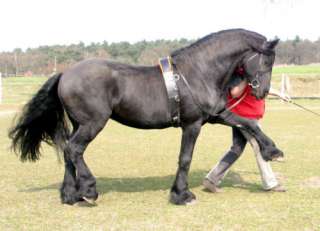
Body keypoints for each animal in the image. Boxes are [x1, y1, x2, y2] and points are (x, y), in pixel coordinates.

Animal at [8, 28, 282, 204]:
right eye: (267, 61)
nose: (263, 92)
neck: (198, 72)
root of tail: (65, 73)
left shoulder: (215, 114)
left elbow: (248, 123)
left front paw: (273, 150)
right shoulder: (193, 124)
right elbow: (185, 158)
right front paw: (182, 195)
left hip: (80, 124)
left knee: (68, 152)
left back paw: (69, 195)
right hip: (92, 124)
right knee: (74, 150)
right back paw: (89, 190)